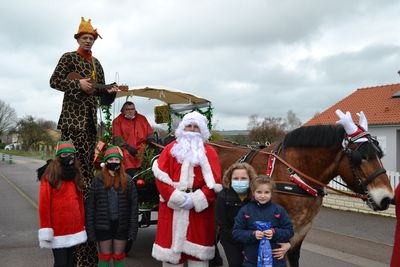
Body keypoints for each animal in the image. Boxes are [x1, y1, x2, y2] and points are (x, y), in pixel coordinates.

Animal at [211, 124, 392, 267]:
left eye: (380, 155)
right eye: (362, 157)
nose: (387, 198)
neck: (295, 175)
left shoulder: (303, 227)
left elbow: (292, 255)